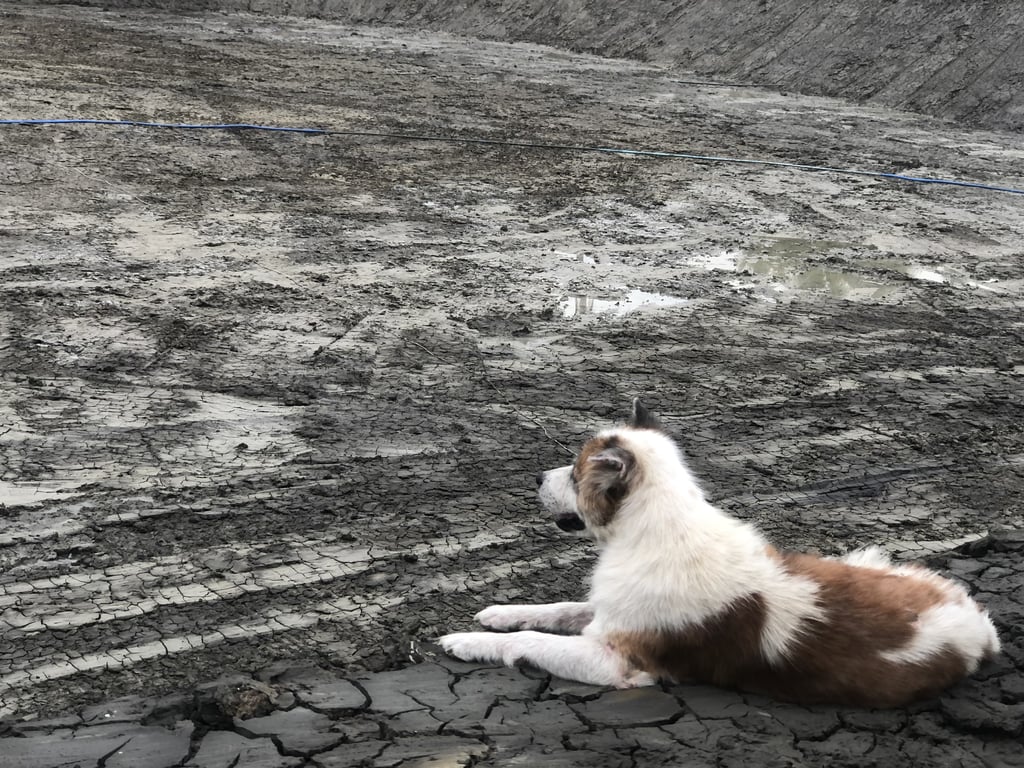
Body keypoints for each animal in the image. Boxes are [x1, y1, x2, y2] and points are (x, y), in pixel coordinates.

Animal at [439, 399, 1001, 707]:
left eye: (576, 474)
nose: (536, 477)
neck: (654, 529)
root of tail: (981, 627)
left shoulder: (617, 661)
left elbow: (531, 642)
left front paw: (464, 641)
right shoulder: (607, 614)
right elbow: (556, 609)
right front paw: (499, 612)